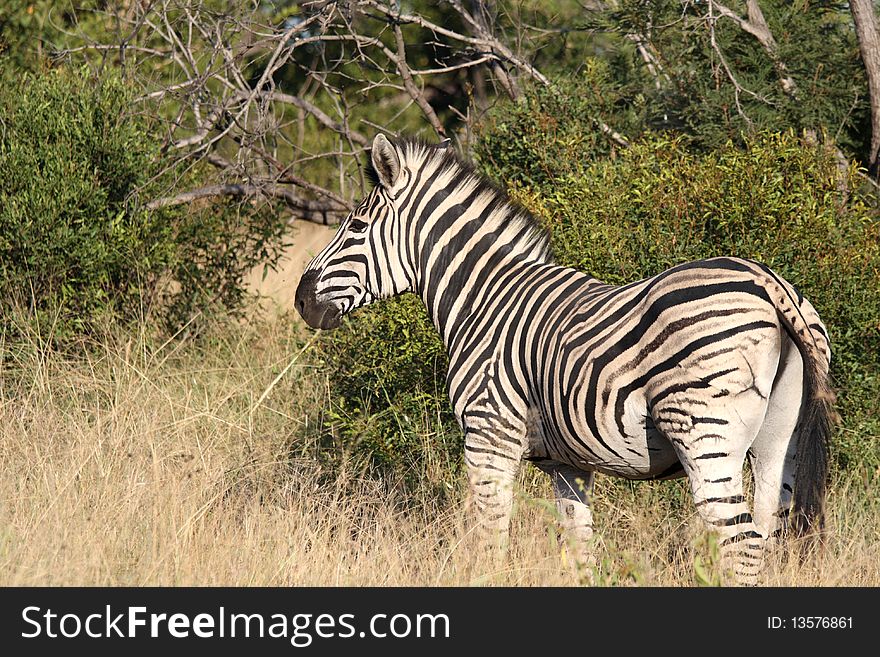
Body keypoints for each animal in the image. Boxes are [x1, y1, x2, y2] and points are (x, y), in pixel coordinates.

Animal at [294, 135, 832, 584]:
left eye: (356, 227)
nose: (301, 300)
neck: (483, 298)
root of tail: (767, 282)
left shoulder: (489, 435)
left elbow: (491, 539)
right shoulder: (569, 462)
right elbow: (580, 550)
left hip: (703, 430)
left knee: (739, 543)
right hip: (778, 438)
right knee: (766, 533)